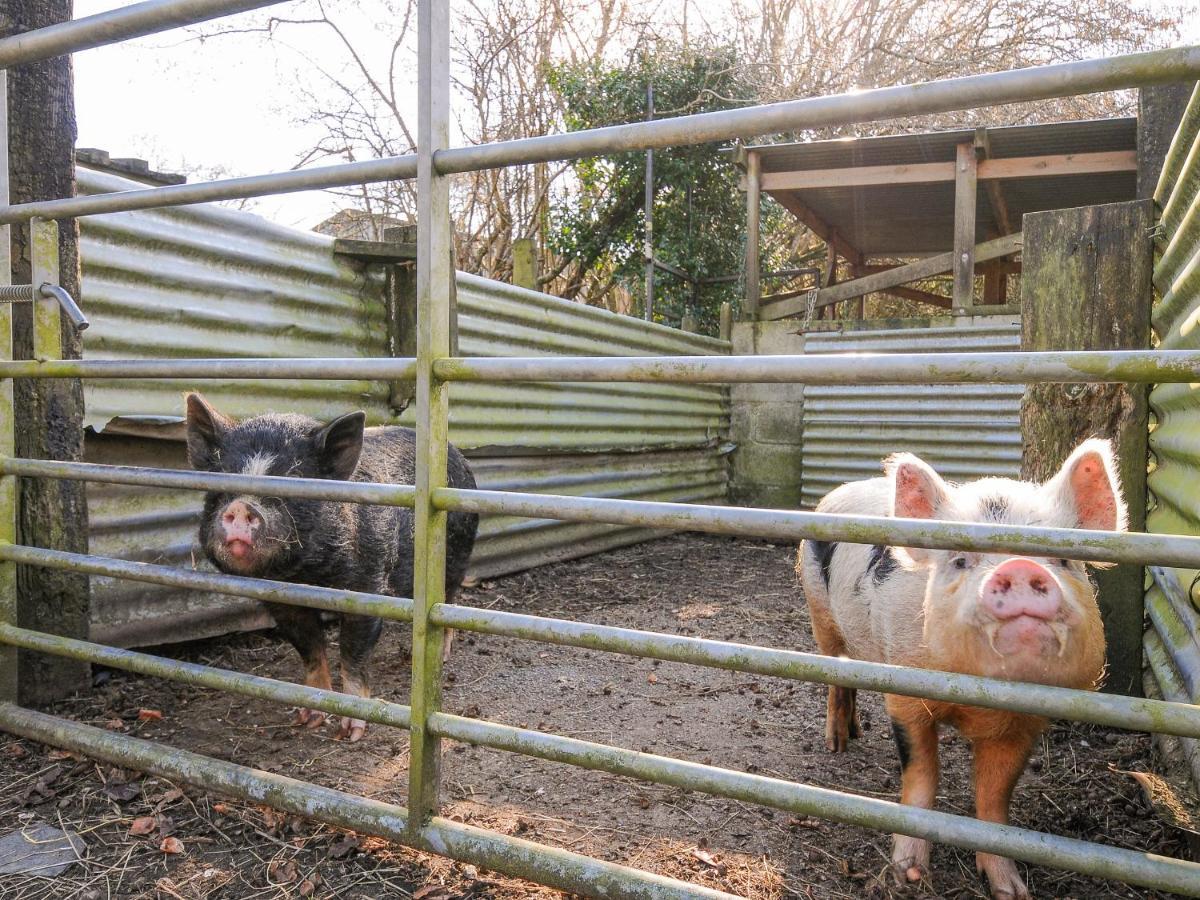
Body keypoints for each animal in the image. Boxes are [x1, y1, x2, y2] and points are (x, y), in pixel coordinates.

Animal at [184, 393, 475, 739]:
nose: (242, 506)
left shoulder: (367, 585)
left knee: (448, 599)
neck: (312, 577)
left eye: (295, 480)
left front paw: (352, 732)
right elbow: (310, 649)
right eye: (222, 477)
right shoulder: (281, 600)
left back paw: (442, 655)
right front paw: (308, 717)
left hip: (457, 554)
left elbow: (353, 653)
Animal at [796, 441, 1123, 897]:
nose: (1018, 567)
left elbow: (995, 795)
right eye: (960, 560)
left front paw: (1010, 889)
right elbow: (920, 774)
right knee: (833, 673)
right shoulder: (906, 693)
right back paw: (837, 744)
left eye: (1063, 559)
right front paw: (908, 875)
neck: (979, 701)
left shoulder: (1026, 722)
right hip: (818, 610)